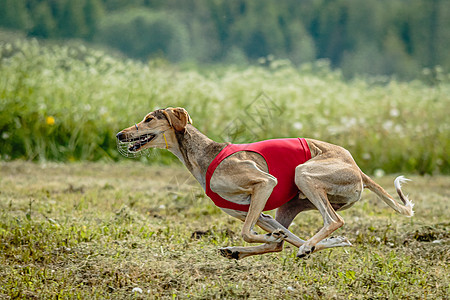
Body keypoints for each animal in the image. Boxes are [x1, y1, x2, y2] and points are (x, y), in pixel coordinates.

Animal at [116, 106, 414, 258]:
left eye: (149, 119)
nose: (119, 135)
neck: (205, 154)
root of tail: (358, 169)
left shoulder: (264, 183)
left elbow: (247, 232)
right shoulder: (257, 213)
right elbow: (271, 236)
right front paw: (330, 243)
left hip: (304, 174)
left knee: (333, 220)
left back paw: (308, 245)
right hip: (293, 203)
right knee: (287, 240)